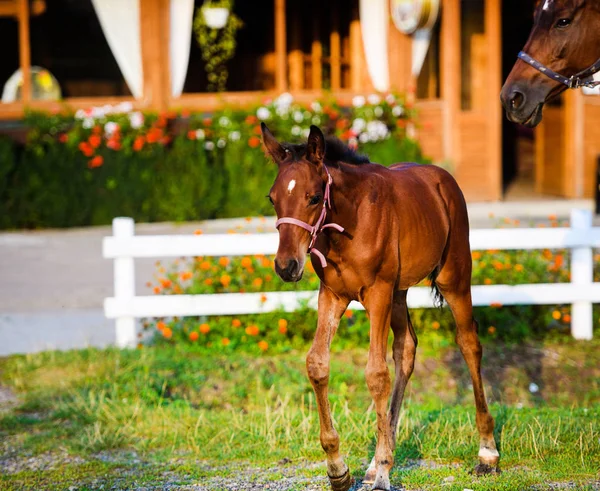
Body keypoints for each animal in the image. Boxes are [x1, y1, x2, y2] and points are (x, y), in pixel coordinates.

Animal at [264, 125, 500, 491]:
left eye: (314, 197)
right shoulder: (332, 294)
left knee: (469, 344)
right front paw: (339, 469)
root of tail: (441, 177)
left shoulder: (377, 294)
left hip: (453, 278)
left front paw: (383, 474)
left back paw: (487, 453)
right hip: (399, 292)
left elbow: (376, 374)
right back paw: (376, 461)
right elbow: (317, 364)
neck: (350, 221)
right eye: (273, 199)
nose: (286, 266)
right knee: (407, 349)